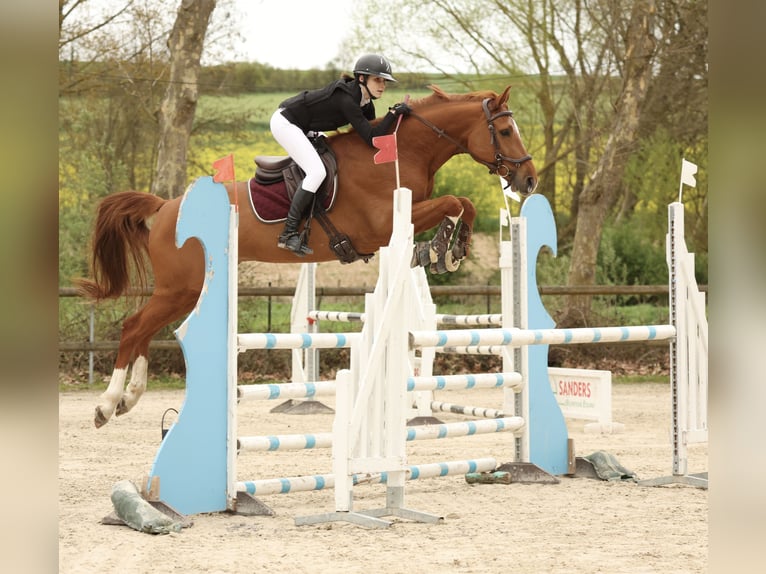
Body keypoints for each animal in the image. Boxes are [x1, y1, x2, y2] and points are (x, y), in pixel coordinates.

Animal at [76, 84, 536, 428]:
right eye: (506, 131)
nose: (529, 180)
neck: (402, 151)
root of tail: (166, 207)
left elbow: (463, 204)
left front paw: (451, 250)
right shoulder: (382, 225)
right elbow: (454, 203)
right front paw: (441, 249)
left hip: (187, 290)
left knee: (146, 331)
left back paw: (129, 398)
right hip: (179, 287)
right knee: (135, 327)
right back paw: (106, 404)